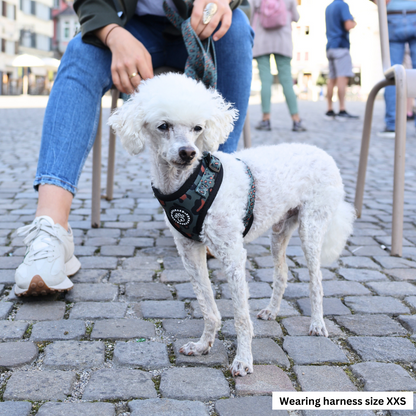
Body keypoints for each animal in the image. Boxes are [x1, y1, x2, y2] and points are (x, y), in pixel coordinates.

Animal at [109, 74, 356, 376]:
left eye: (198, 128)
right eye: (163, 126)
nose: (188, 152)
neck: (188, 182)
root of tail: (324, 155)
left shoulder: (233, 254)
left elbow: (240, 315)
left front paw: (244, 360)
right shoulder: (190, 253)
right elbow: (208, 306)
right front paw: (203, 345)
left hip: (311, 228)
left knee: (317, 280)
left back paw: (318, 323)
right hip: (280, 231)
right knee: (282, 273)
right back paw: (272, 311)